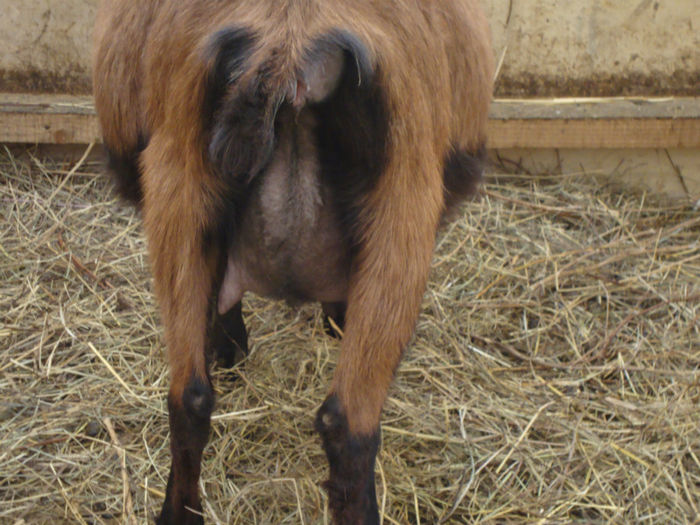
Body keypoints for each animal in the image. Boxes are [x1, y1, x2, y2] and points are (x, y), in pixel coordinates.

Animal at [93, 2, 494, 520]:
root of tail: (288, 43)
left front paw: (231, 351)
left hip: (179, 188)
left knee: (190, 401)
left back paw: (179, 512)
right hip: (403, 210)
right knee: (349, 428)